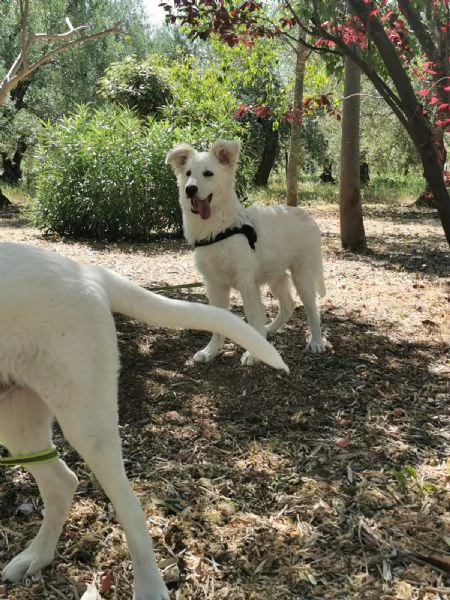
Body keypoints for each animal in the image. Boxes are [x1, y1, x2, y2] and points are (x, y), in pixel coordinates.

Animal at [0, 241, 286, 600]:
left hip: (86, 423)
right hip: (16, 419)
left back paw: (148, 586)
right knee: (61, 484)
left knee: (128, 507)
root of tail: (85, 272)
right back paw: (37, 556)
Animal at [167, 139, 326, 366]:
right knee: (288, 304)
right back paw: (270, 330)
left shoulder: (246, 282)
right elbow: (218, 321)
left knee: (312, 308)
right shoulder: (214, 283)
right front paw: (211, 351)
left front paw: (253, 352)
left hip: (303, 275)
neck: (220, 228)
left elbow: (252, 315)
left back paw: (316, 341)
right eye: (188, 173)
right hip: (275, 276)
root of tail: (306, 215)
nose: (190, 189)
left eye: (208, 173)